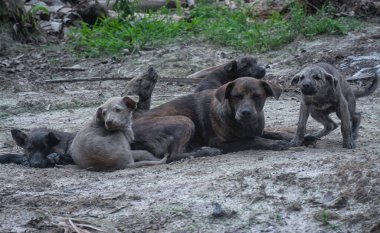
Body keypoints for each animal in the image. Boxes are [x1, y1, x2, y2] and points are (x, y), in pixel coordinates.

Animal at [132, 77, 290, 162]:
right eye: (237, 96)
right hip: (184, 121)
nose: (246, 112)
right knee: (173, 156)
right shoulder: (220, 142)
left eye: (257, 96)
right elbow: (252, 139)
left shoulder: (258, 130)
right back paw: (207, 152)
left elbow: (271, 132)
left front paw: (288, 136)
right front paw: (274, 144)